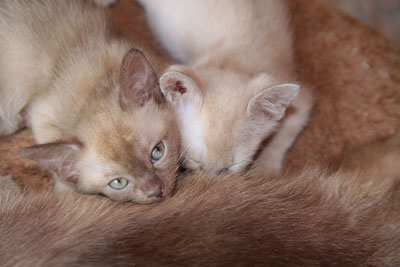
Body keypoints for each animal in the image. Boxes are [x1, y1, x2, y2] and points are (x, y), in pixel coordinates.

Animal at [139, 0, 314, 176]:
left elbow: (282, 138)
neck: (236, 60)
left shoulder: (301, 100)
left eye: (228, 169)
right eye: (196, 163)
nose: (209, 179)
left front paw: (265, 171)